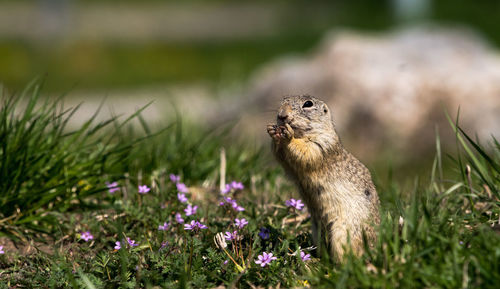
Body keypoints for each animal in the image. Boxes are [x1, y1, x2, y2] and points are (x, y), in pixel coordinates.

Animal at [268, 95, 380, 260]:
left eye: (308, 104)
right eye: (283, 100)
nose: (282, 115)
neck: (302, 134)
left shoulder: (322, 144)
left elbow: (306, 151)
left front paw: (288, 136)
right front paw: (272, 131)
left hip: (343, 233)